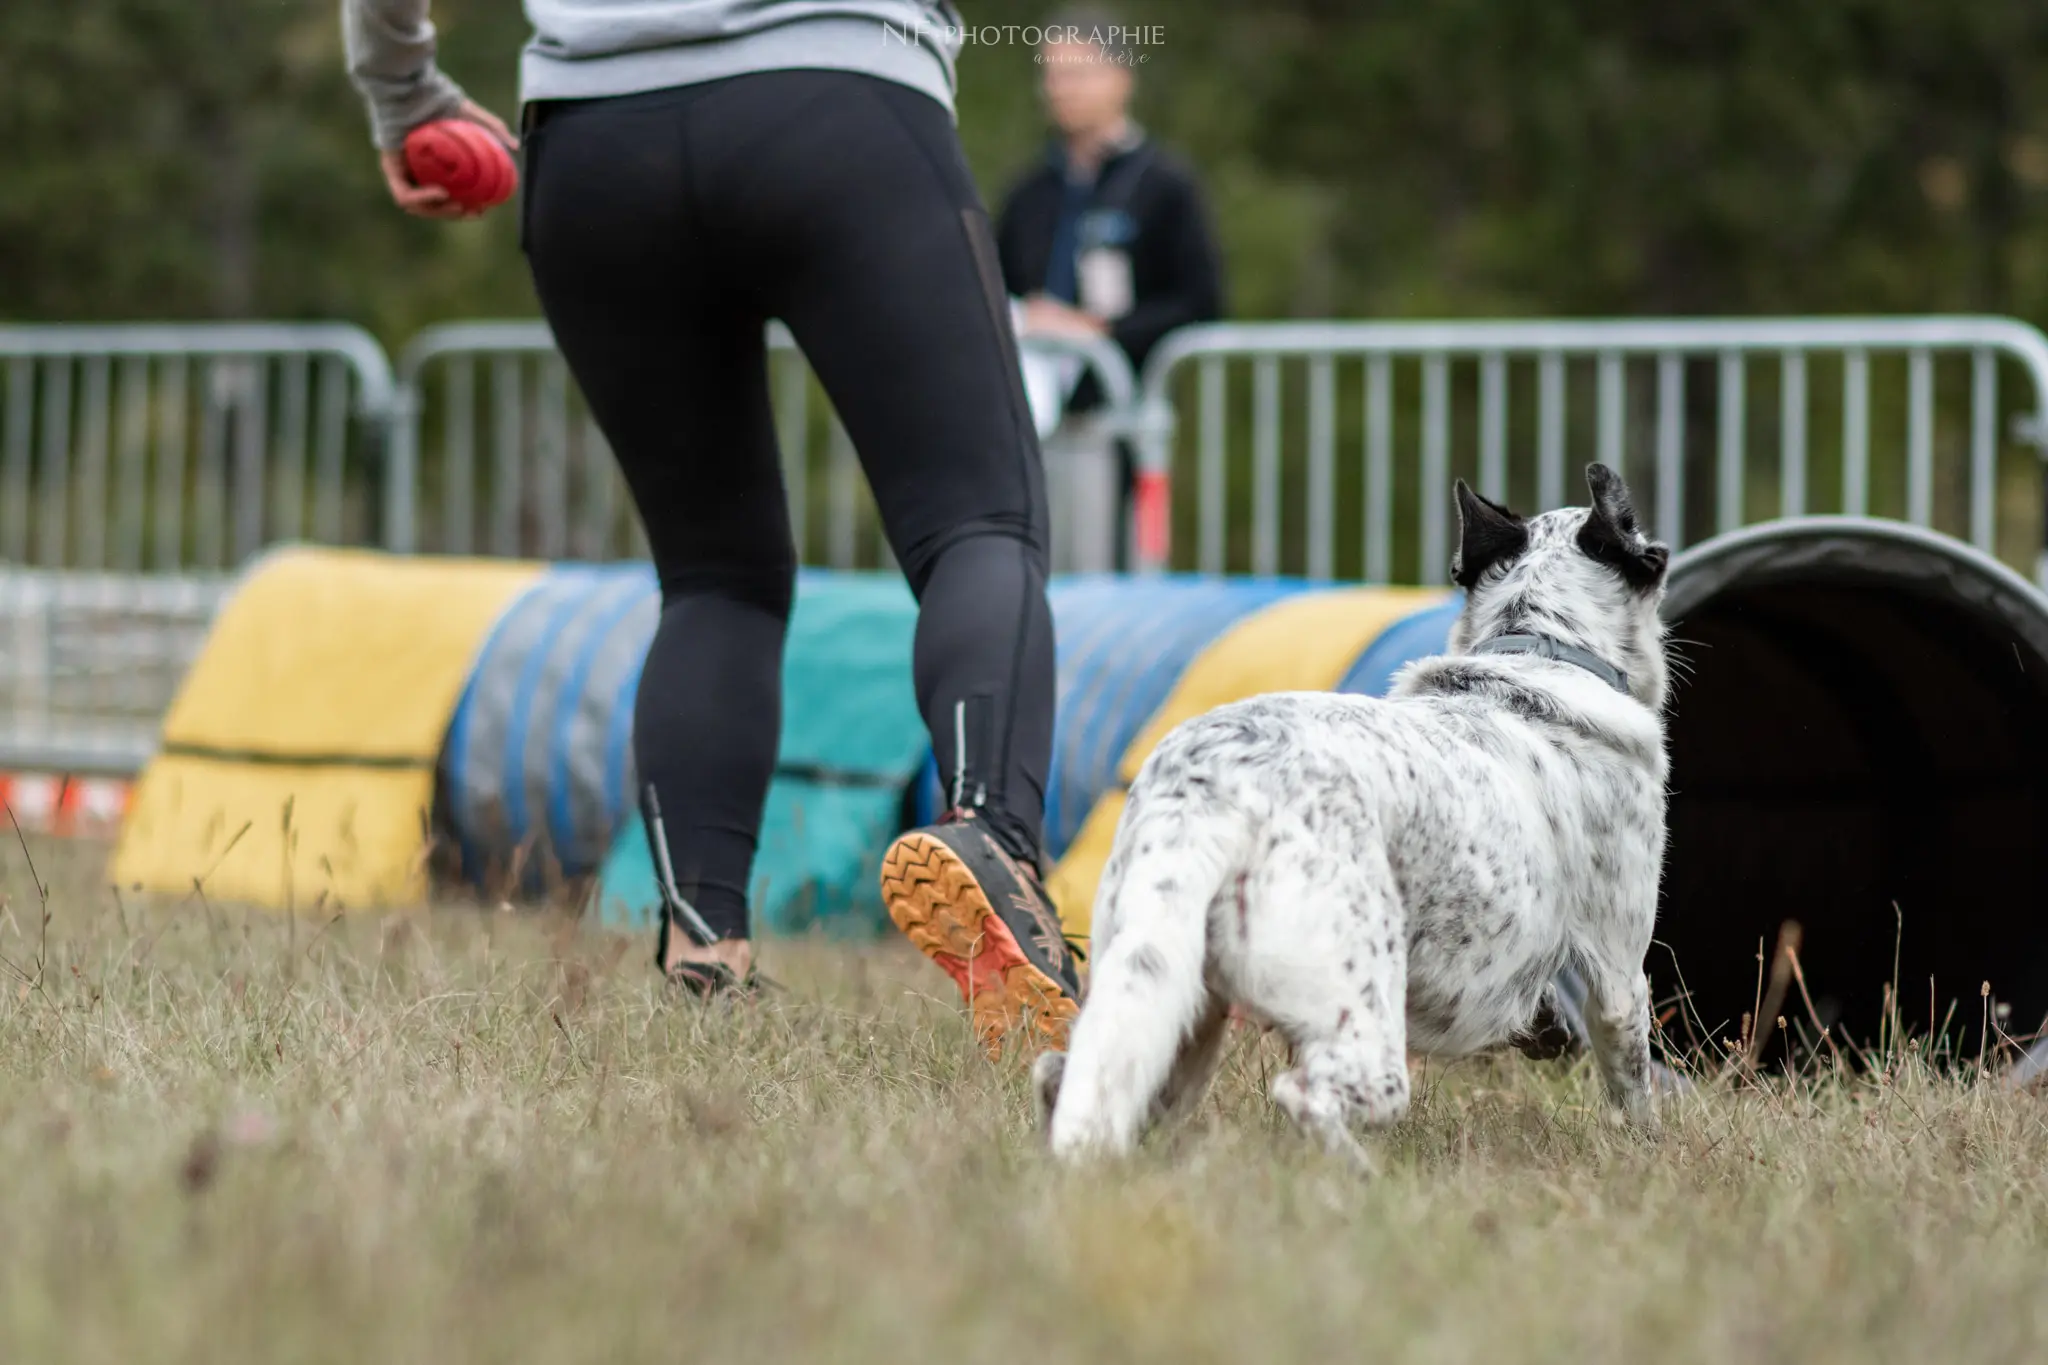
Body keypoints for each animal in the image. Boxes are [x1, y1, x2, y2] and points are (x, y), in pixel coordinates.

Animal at [1032, 466, 1671, 1162]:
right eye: (1640, 533)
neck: (1541, 652)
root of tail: (1217, 784)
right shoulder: (1617, 972)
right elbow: (1634, 1083)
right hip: (1360, 1022)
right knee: (1306, 1094)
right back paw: (1360, 1173)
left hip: (1173, 1000)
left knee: (1063, 1074)